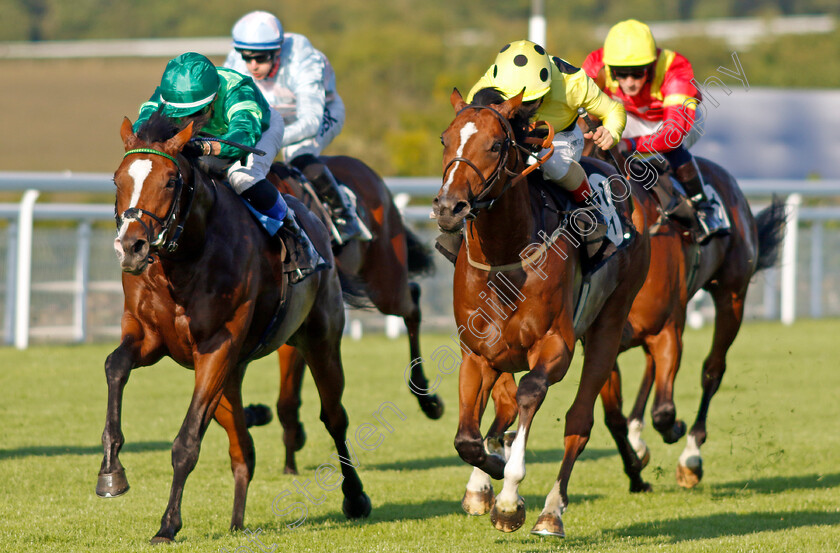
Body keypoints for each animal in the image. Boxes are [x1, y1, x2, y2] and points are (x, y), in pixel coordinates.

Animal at [436, 89, 660, 536]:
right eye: (444, 140)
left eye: (495, 145)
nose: (449, 207)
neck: (505, 256)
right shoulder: (477, 353)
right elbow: (467, 438)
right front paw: (487, 476)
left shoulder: (556, 345)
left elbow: (529, 394)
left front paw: (508, 499)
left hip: (608, 326)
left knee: (578, 422)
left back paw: (551, 513)